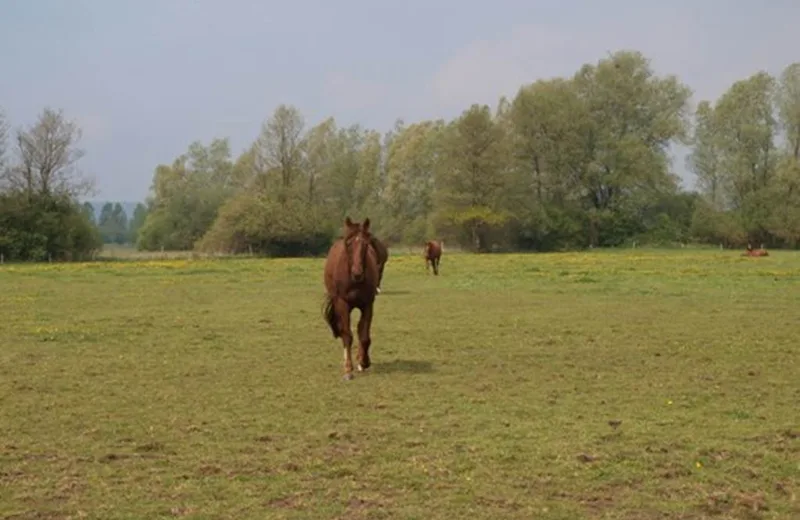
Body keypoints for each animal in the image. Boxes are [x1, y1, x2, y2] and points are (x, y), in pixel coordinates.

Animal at [322, 217, 382, 380]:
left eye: (366, 244)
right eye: (348, 244)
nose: (357, 273)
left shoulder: (368, 304)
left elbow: (364, 335)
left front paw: (364, 362)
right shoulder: (342, 304)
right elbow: (347, 335)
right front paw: (348, 369)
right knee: (344, 331)